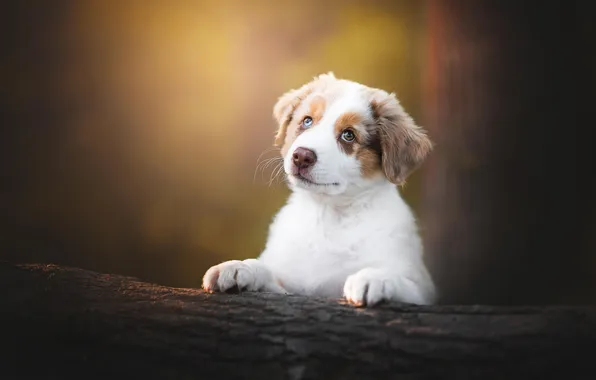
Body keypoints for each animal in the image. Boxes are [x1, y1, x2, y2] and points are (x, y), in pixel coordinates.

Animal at [203, 73, 436, 306]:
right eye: (307, 121)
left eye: (348, 135)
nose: (301, 156)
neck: (327, 215)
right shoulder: (289, 286)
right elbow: (266, 270)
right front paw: (237, 267)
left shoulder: (420, 288)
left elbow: (399, 279)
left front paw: (375, 278)